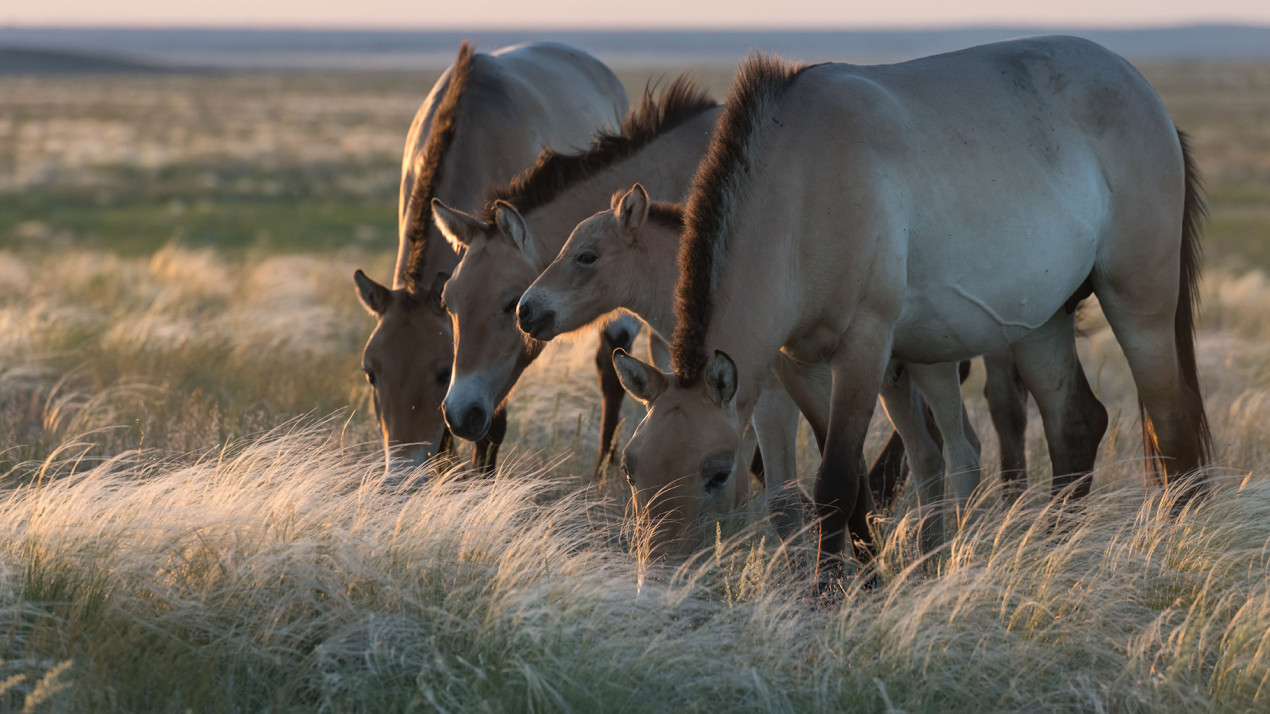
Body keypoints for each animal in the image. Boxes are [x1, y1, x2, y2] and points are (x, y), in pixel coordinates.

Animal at [613, 37, 1211, 566]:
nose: (660, 571)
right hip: (1040, 322)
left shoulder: (865, 348)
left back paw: (1178, 550)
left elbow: (836, 481)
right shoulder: (797, 363)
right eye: (630, 468)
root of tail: (1147, 95)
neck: (802, 187)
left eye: (717, 472)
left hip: (1139, 301)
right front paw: (865, 579)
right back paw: (1053, 557)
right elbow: (850, 479)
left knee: (1173, 423)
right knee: (1075, 424)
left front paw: (829, 596)